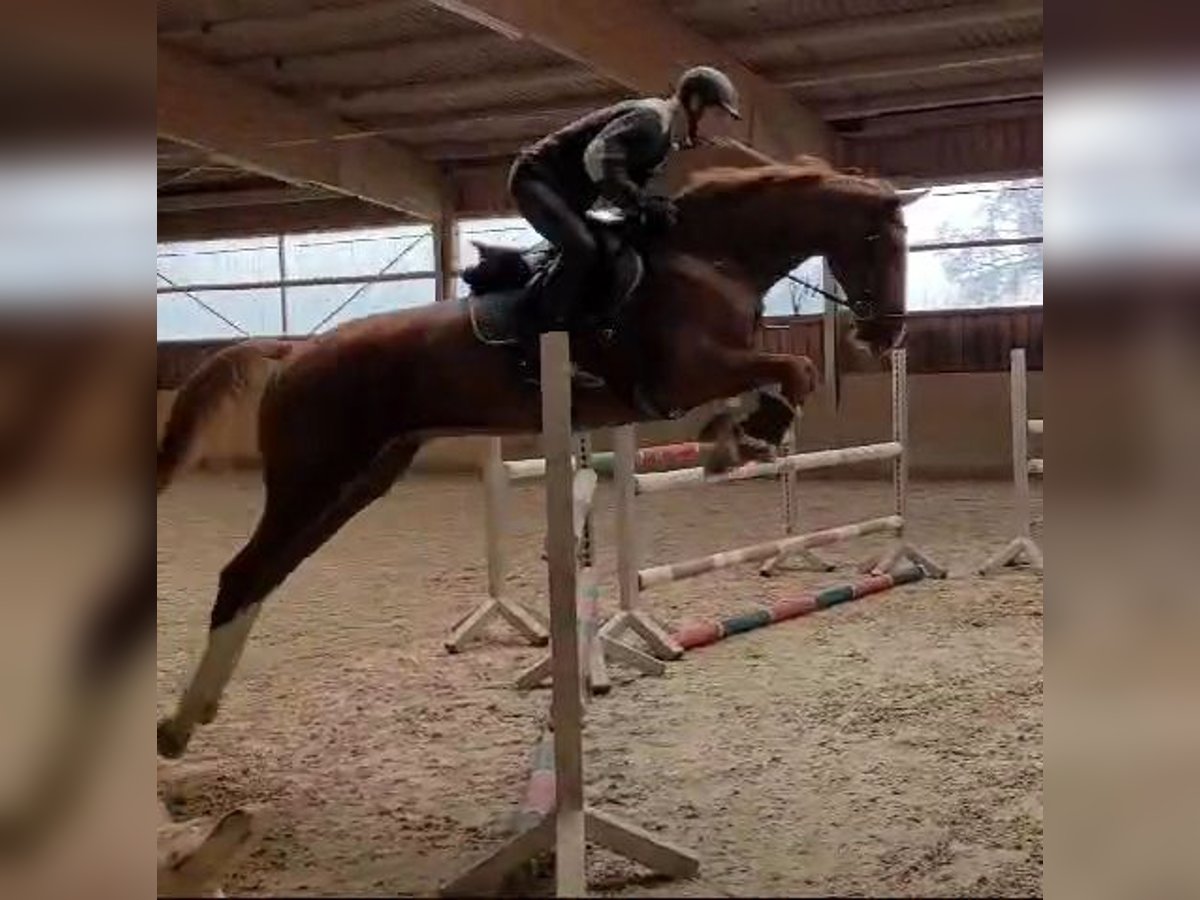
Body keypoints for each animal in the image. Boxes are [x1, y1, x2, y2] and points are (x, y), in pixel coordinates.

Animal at [154, 157, 912, 763]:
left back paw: (196, 713)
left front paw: (737, 435)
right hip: (311, 477)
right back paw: (177, 725)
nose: (887, 335)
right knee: (243, 573)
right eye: (878, 240)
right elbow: (794, 370)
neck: (709, 259)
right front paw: (744, 439)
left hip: (360, 480)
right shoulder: (685, 374)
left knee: (266, 575)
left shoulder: (716, 368)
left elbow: (783, 377)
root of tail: (294, 352)